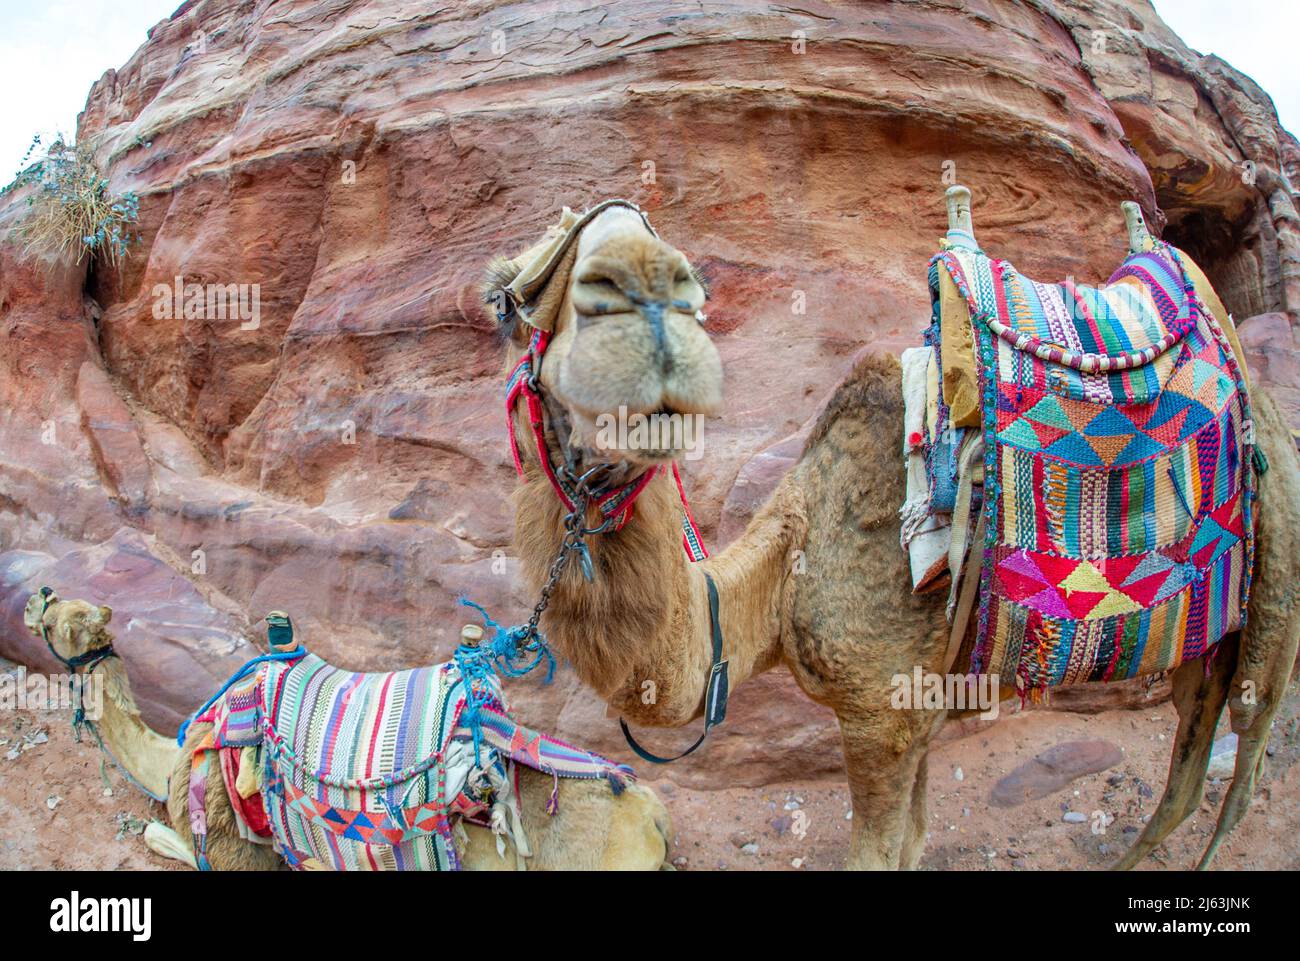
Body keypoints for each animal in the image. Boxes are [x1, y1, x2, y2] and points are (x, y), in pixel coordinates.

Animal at [488, 195, 1300, 873]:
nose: (643, 286)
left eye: (696, 289)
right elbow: (912, 841)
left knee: (1244, 757)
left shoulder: (879, 713)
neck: (785, 577)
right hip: (1206, 640)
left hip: (1274, 589)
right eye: (506, 301)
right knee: (1189, 767)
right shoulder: (920, 708)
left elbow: (878, 854)